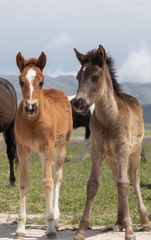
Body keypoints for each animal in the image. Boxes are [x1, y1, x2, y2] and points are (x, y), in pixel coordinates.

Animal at [14, 51, 72, 238]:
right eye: (21, 81)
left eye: (41, 82)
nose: (31, 107)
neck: (33, 121)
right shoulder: (23, 150)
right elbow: (24, 183)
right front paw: (20, 229)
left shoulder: (48, 147)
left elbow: (47, 183)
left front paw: (51, 227)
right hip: (40, 153)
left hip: (60, 147)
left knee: (56, 176)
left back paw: (56, 217)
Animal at [73, 45, 150, 240]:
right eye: (78, 76)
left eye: (95, 77)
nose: (78, 103)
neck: (109, 119)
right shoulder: (97, 151)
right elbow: (93, 184)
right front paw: (81, 230)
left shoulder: (123, 150)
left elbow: (125, 184)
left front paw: (130, 231)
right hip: (111, 159)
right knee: (117, 178)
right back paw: (118, 222)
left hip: (134, 153)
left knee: (133, 178)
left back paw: (144, 221)